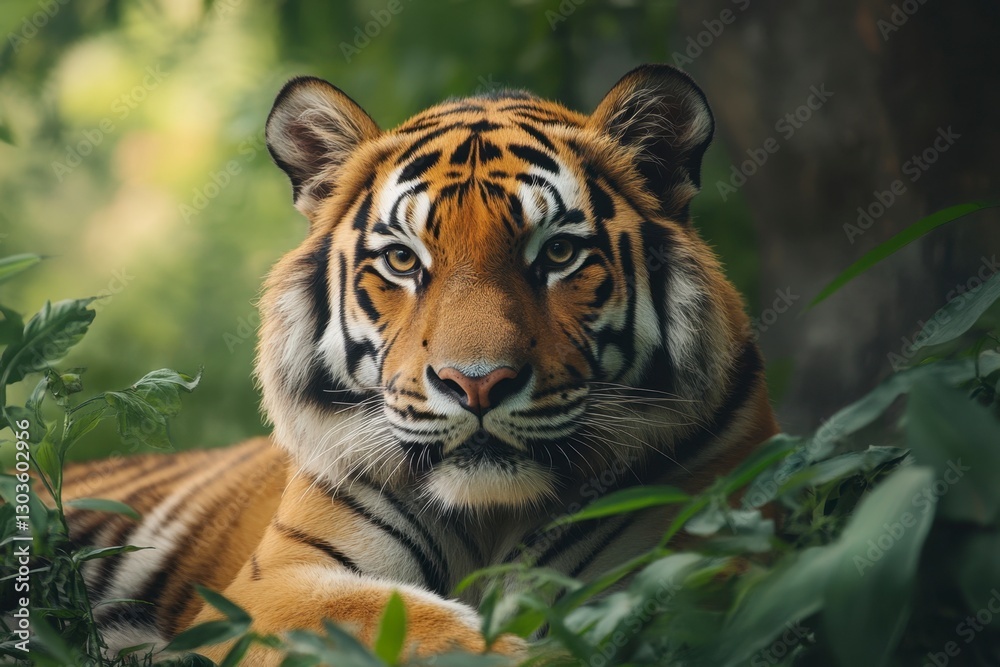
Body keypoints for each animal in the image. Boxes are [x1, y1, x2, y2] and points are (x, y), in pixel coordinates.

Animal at [53, 64, 779, 664]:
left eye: (559, 253)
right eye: (404, 260)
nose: (478, 384)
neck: (492, 517)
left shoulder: (707, 541)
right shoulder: (271, 589)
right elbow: (402, 623)